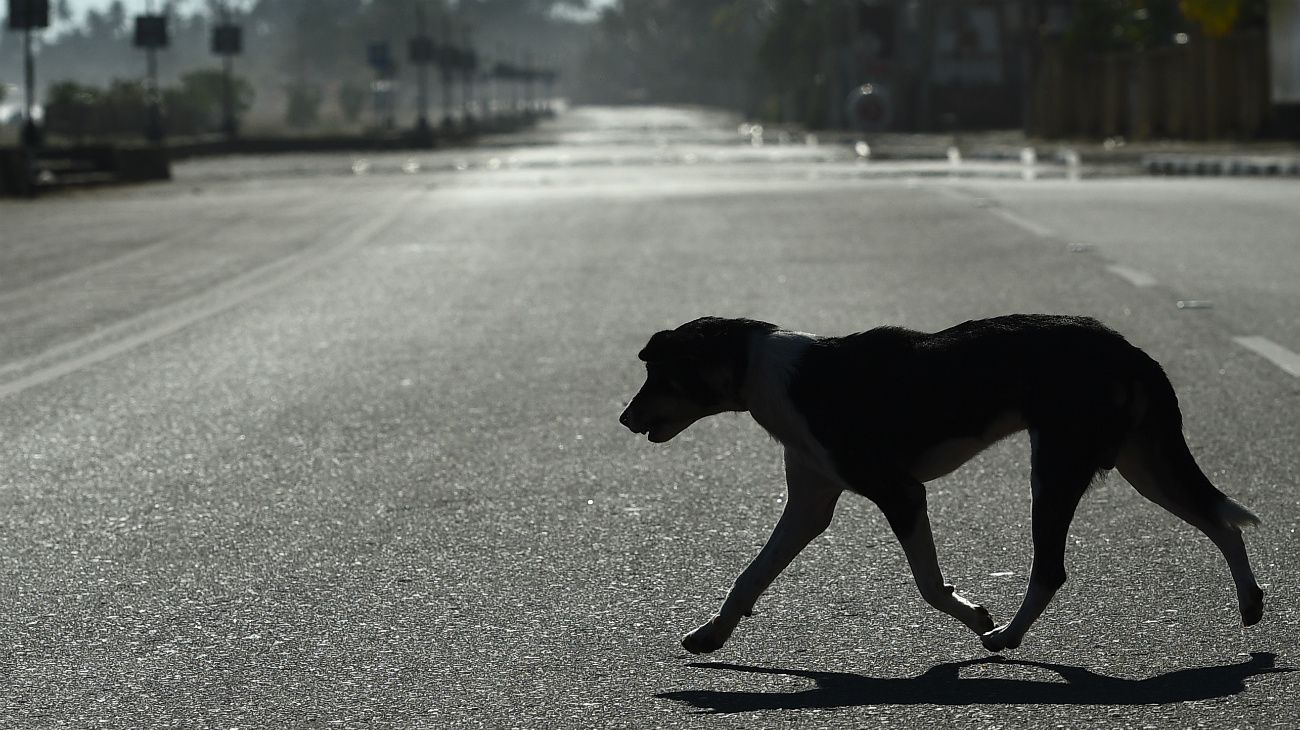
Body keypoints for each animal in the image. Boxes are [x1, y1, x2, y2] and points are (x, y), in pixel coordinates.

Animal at [618, 313, 1258, 654]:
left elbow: (929, 585)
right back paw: (1251, 604)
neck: (773, 376)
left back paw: (1005, 637)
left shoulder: (900, 493)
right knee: (1221, 522)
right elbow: (750, 575)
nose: (623, 419)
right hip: (1142, 465)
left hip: (1057, 468)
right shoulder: (810, 503)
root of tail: (1130, 350)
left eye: (658, 376)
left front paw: (974, 615)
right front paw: (712, 633)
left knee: (1052, 568)